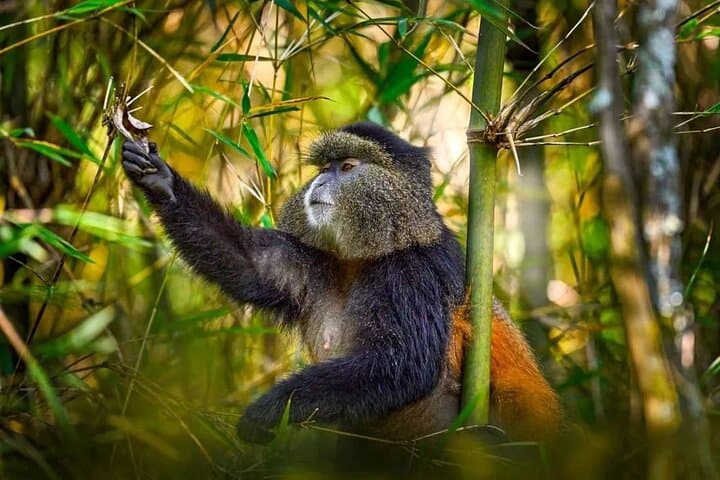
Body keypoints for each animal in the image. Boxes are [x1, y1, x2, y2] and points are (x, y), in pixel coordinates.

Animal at [121, 122, 562, 444]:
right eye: (323, 168)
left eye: (347, 167)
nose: (318, 183)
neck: (366, 258)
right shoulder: (316, 262)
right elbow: (250, 264)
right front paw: (160, 180)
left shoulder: (415, 272)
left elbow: (402, 363)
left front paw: (266, 412)